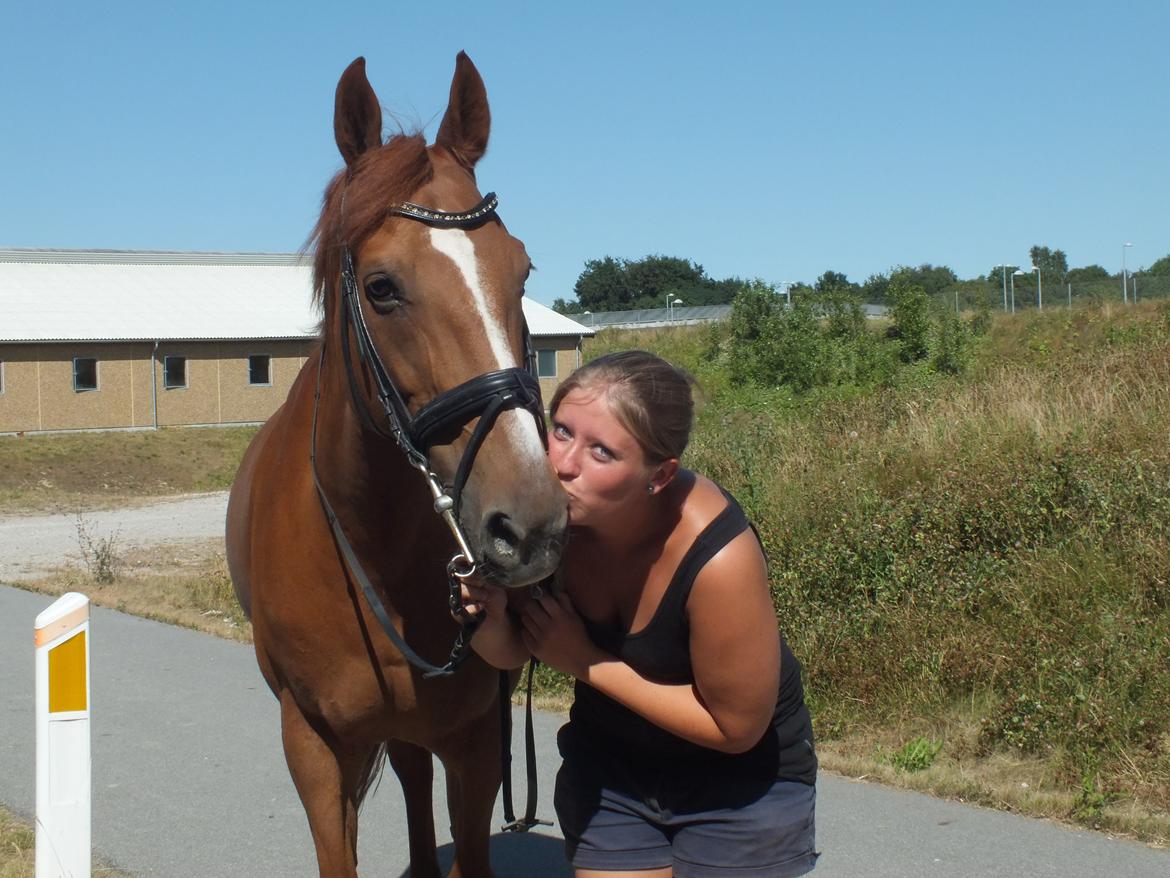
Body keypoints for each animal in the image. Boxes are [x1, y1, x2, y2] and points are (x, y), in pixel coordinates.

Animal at [225, 56, 568, 878]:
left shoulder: (476, 741)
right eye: (381, 288)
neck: (369, 549)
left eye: (523, 271)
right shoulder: (314, 747)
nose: (530, 524)